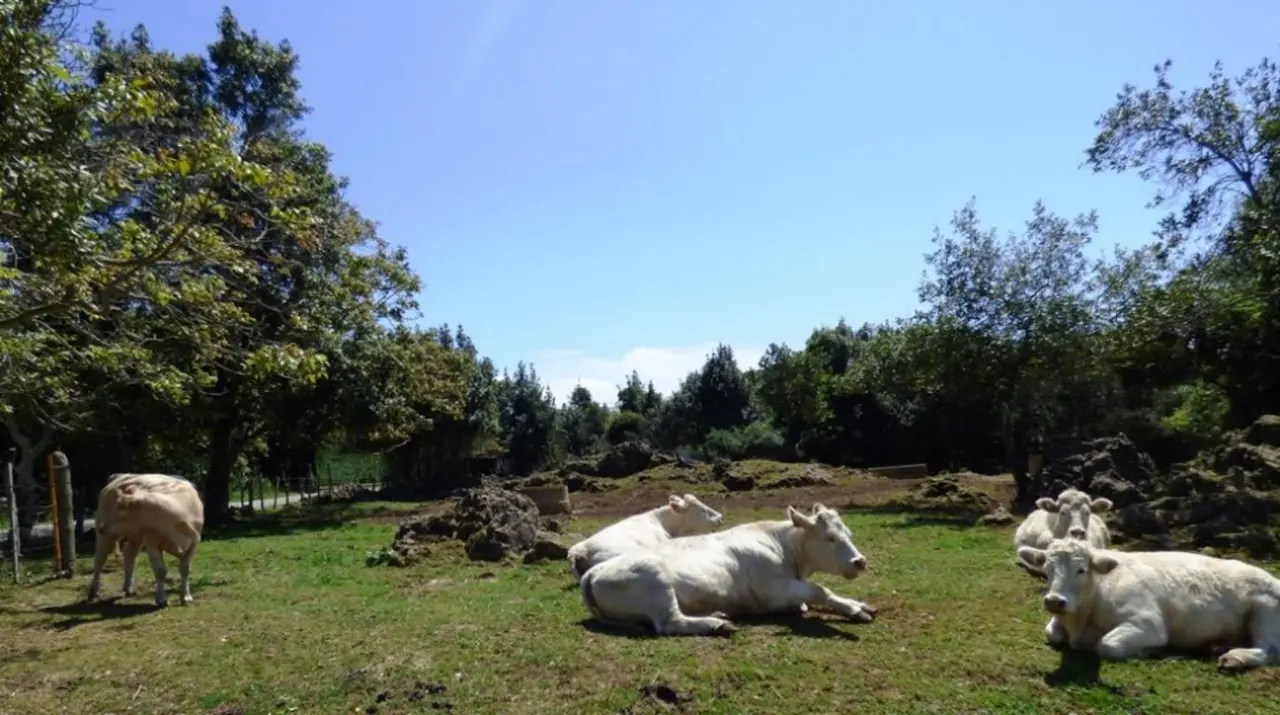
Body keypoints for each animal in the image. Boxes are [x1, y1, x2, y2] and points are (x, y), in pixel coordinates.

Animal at [87, 473, 204, 606]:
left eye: (120, 507)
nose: (102, 527)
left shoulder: (194, 541)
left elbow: (185, 569)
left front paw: (186, 597)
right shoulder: (151, 542)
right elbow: (160, 571)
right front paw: (161, 598)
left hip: (135, 536)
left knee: (130, 556)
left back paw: (128, 588)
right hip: (105, 536)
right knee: (99, 561)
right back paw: (93, 590)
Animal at [583, 503, 875, 636]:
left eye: (848, 533)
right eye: (830, 538)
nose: (860, 562)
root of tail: (594, 572)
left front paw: (857, 604)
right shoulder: (774, 590)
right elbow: (819, 590)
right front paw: (854, 609)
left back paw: (717, 613)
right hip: (656, 581)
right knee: (669, 623)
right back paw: (717, 624)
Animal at [1018, 539, 1280, 675]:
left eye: (1081, 570)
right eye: (1047, 569)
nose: (1055, 600)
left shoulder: (1148, 621)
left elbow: (1106, 645)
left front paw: (1150, 651)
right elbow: (1052, 633)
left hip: (1264, 612)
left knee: (1268, 649)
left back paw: (1235, 658)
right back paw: (1218, 647)